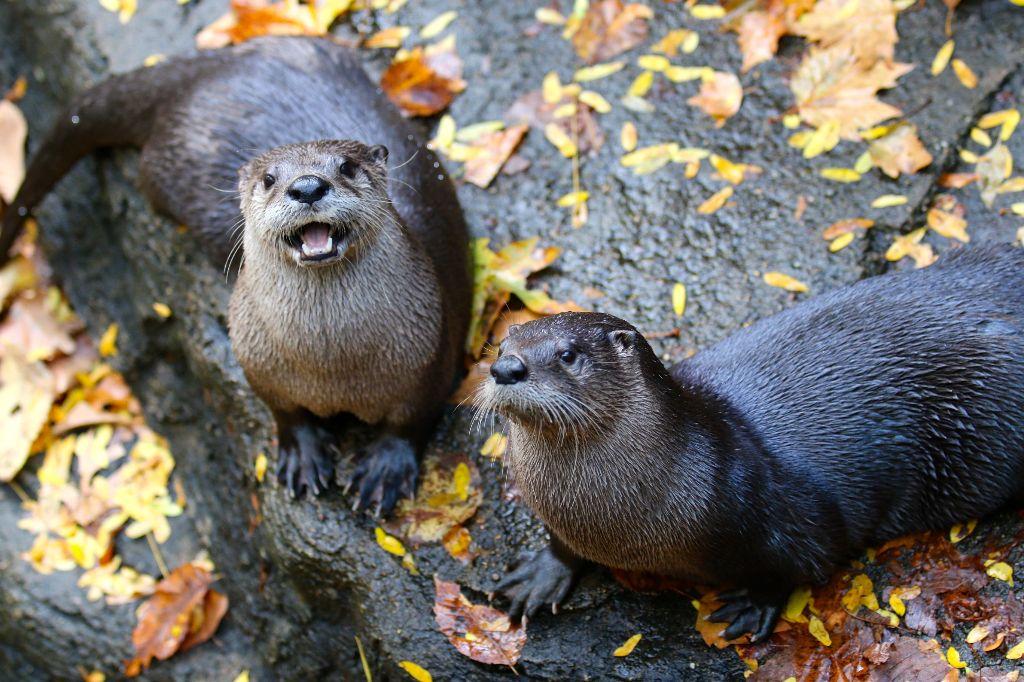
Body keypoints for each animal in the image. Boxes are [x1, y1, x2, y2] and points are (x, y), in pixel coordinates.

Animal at [2, 37, 471, 514]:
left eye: (347, 167)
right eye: (269, 178)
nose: (307, 186)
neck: (332, 365)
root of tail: (213, 64)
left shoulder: (431, 353)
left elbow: (411, 420)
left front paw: (385, 469)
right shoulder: (256, 359)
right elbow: (284, 412)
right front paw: (302, 454)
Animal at [480, 246, 1024, 641]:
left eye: (568, 354)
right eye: (502, 346)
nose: (506, 368)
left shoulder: (780, 509)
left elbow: (802, 558)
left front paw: (753, 604)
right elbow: (560, 545)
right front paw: (542, 573)